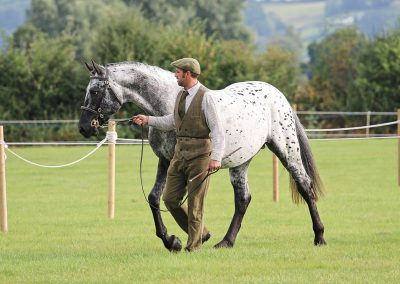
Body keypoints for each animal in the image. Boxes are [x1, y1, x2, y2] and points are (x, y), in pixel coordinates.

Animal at [79, 60, 326, 251]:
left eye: (94, 91)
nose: (84, 127)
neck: (170, 103)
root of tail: (277, 95)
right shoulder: (166, 161)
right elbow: (156, 198)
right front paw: (172, 241)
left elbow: (184, 200)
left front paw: (192, 237)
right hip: (241, 162)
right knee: (243, 199)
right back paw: (226, 242)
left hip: (287, 151)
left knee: (305, 186)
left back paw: (319, 236)